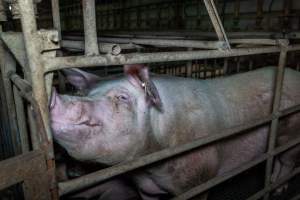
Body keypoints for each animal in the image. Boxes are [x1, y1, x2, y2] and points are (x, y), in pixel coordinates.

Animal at [50, 65, 300, 199]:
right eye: (84, 93)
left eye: (122, 97)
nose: (54, 97)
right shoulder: (145, 187)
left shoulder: (201, 175)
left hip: (292, 135)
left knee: (286, 160)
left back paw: (279, 188)